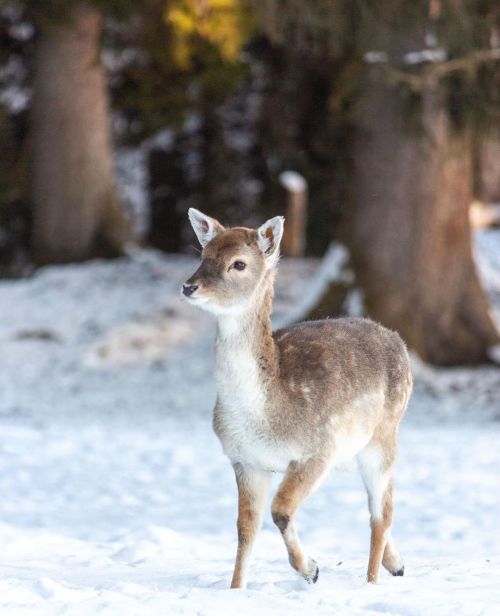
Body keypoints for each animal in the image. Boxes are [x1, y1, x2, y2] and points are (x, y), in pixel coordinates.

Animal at [182, 209, 412, 588]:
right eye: (203, 254)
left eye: (239, 264)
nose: (189, 286)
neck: (265, 414)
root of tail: (400, 342)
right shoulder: (244, 460)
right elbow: (246, 529)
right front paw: (235, 588)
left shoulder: (317, 449)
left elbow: (281, 510)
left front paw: (311, 569)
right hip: (352, 453)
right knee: (386, 501)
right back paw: (397, 563)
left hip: (382, 436)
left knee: (381, 512)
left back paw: (371, 580)